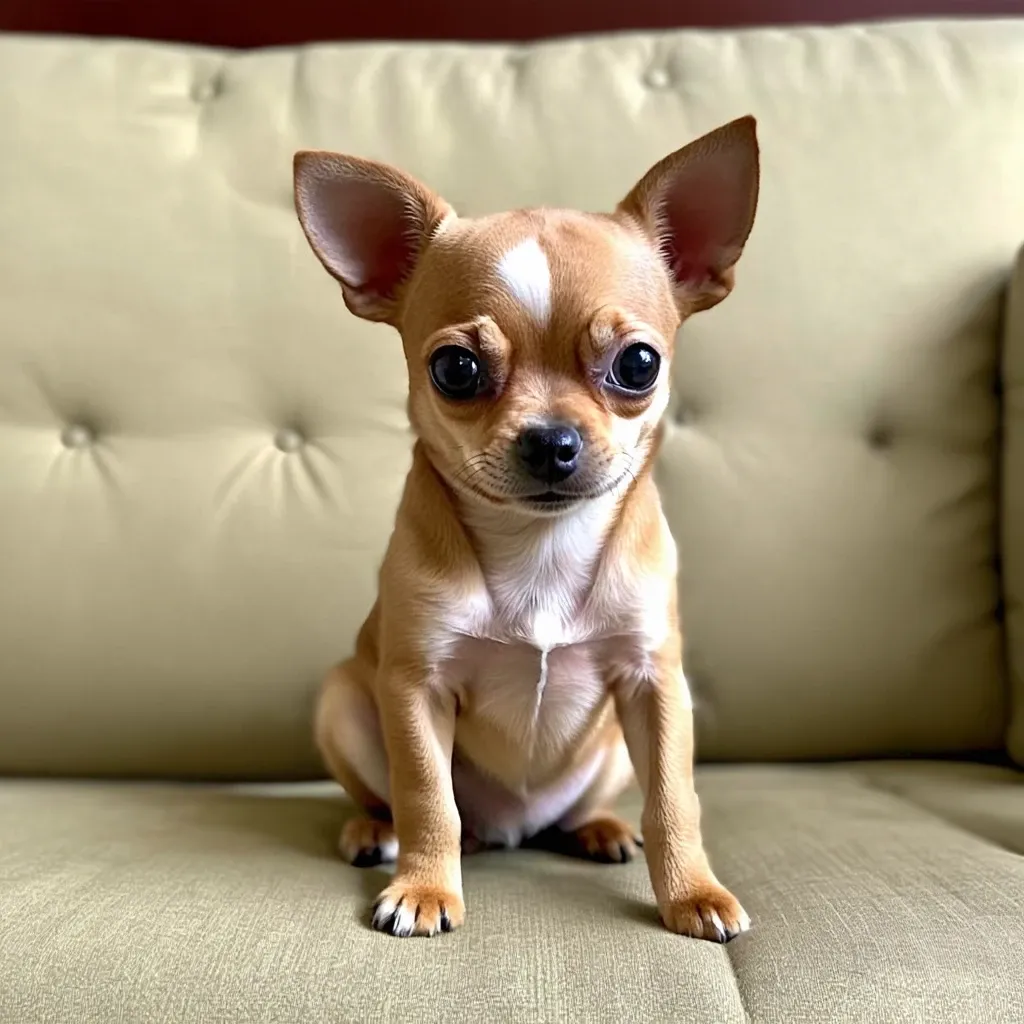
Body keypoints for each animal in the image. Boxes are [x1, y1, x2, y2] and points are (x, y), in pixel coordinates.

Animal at [292, 116, 757, 937]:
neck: (542, 544)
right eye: (455, 371)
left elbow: (675, 800)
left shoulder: (655, 685)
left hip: (610, 748)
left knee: (586, 807)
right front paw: (424, 889)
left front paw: (694, 893)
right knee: (399, 801)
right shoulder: (415, 688)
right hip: (344, 700)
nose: (550, 440)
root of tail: (514, 827)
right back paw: (374, 832)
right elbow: (426, 798)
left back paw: (598, 828)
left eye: (640, 365)